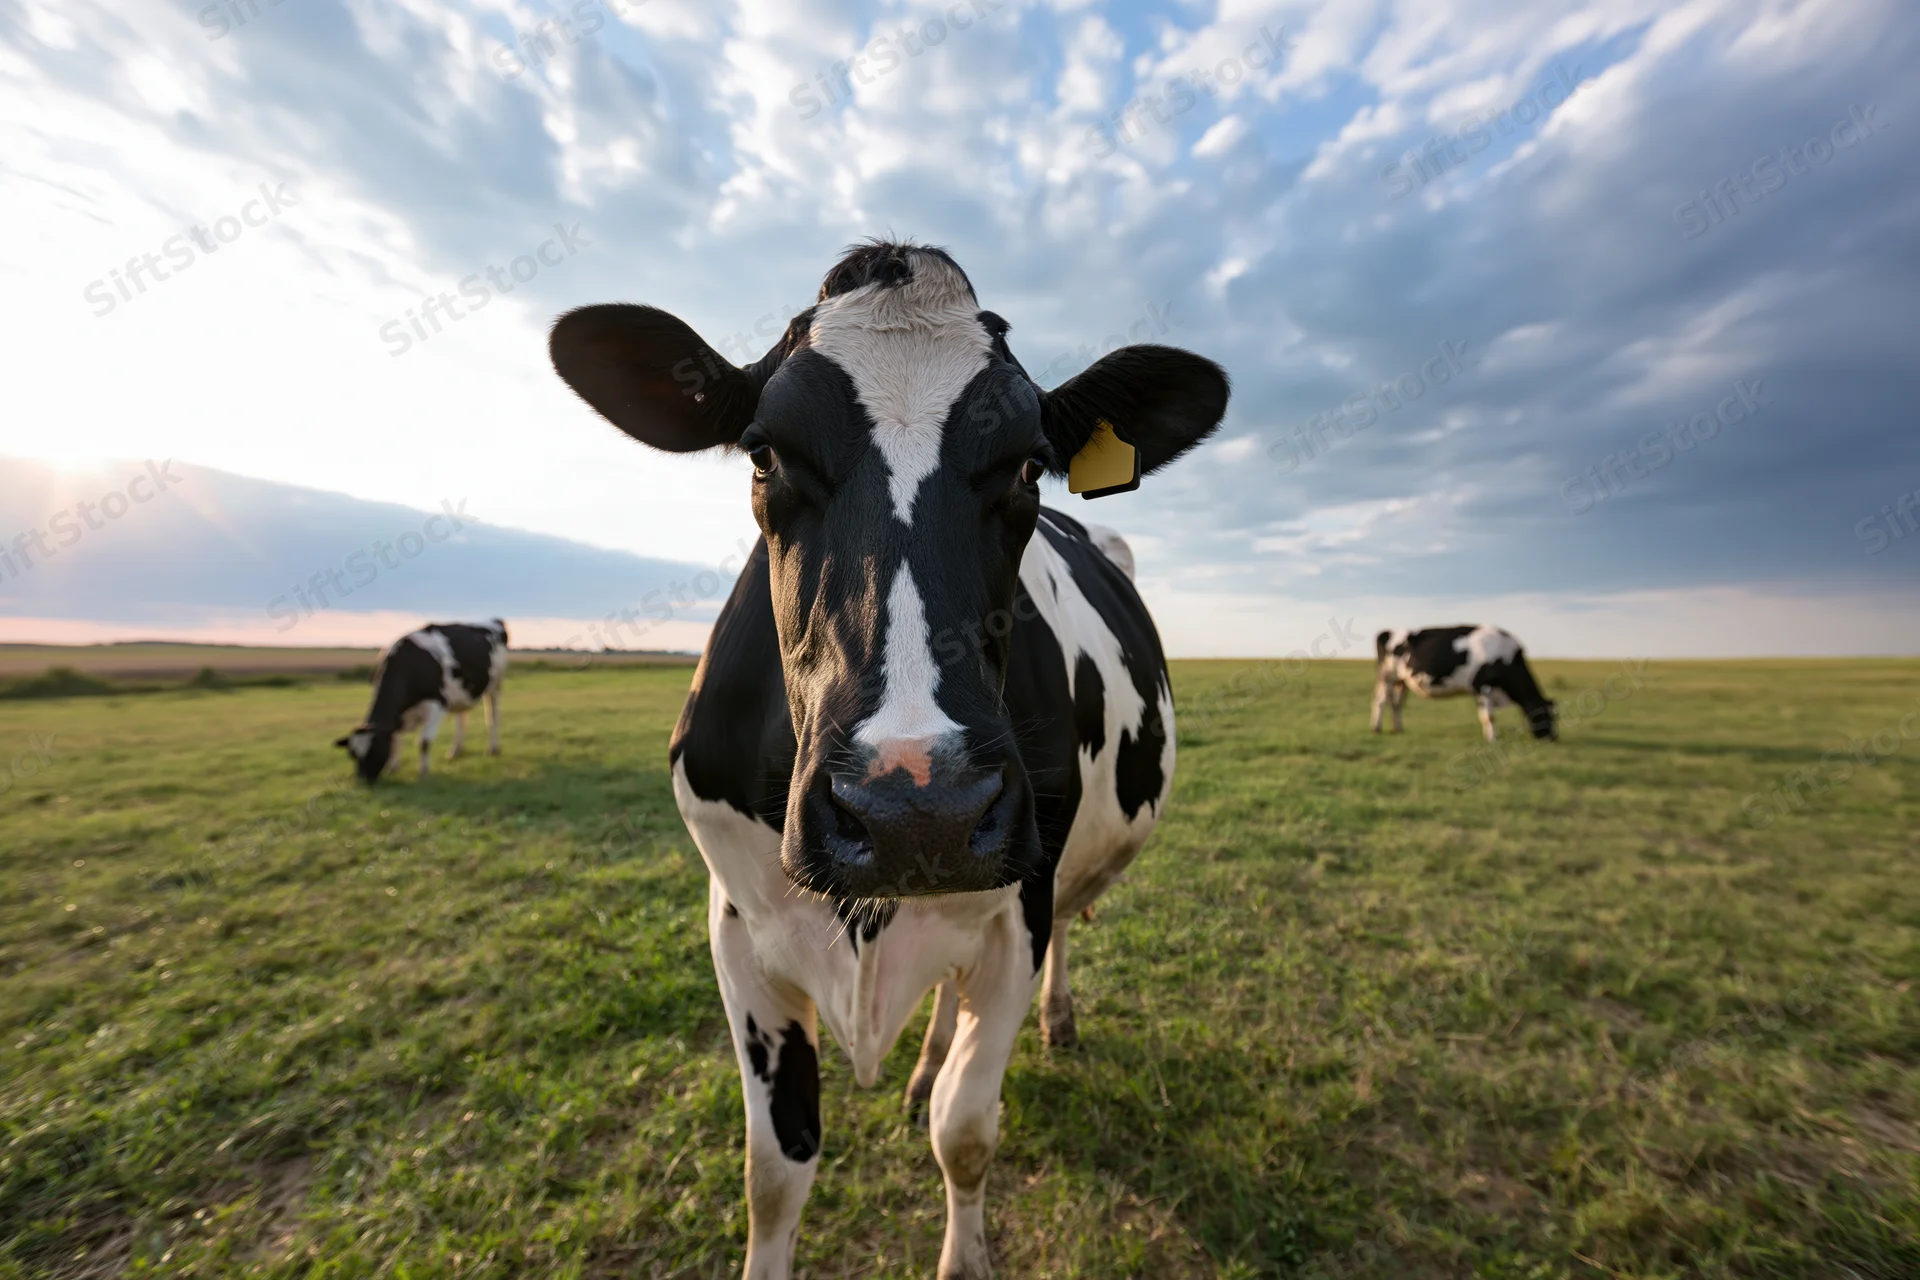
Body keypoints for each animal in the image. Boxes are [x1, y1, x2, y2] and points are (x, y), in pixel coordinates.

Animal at [335, 620, 508, 782]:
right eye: (352, 754)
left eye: (376, 750)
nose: (362, 781)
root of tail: (494, 621)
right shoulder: (399, 716)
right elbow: (396, 739)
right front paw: (392, 768)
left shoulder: (436, 704)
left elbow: (424, 742)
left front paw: (423, 772)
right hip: (460, 693)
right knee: (461, 719)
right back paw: (455, 751)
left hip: (495, 685)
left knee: (492, 717)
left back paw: (493, 749)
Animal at [547, 240, 1228, 1279]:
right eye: (763, 452)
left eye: (1030, 463)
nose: (920, 809)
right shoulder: (738, 931)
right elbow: (774, 1169)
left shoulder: (1016, 915)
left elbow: (967, 1132)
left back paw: (1053, 1022)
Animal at [1372, 624, 1557, 743]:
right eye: (1545, 715)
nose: (1552, 738)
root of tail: (1388, 632)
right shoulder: (1483, 685)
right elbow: (1489, 716)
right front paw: (1493, 739)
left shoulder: (1479, 689)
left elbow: (1484, 715)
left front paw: (1488, 737)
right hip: (1387, 676)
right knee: (1380, 701)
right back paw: (1376, 729)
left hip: (1402, 681)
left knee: (1397, 703)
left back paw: (1399, 729)